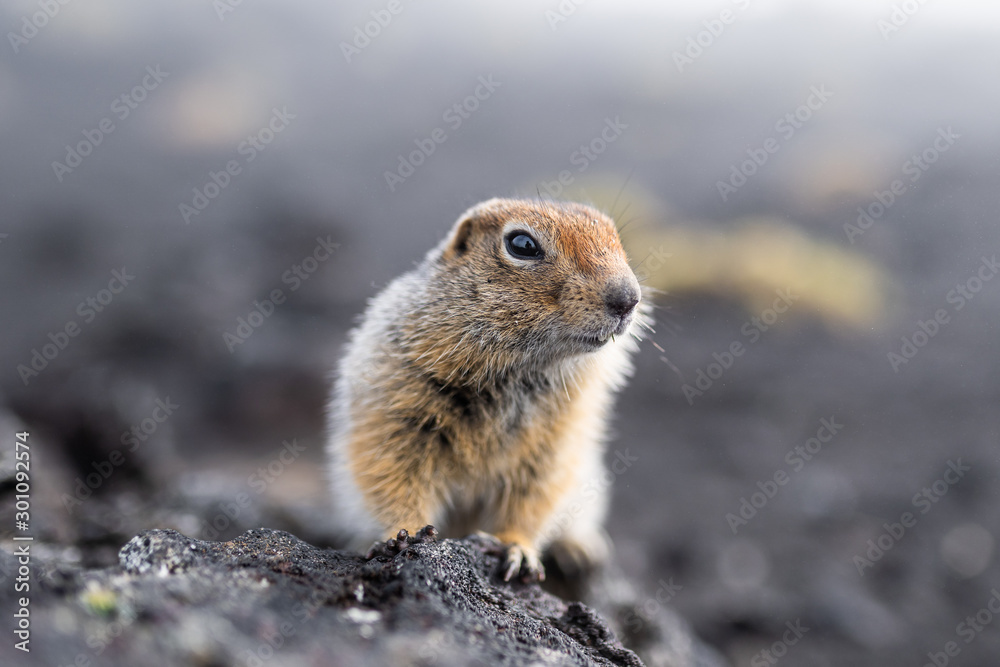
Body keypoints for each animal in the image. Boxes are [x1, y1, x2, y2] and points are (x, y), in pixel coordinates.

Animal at [328, 197, 648, 580]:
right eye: (522, 244)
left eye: (615, 236)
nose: (628, 299)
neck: (519, 372)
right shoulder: (397, 406)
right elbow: (389, 473)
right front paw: (401, 535)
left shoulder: (559, 440)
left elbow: (535, 497)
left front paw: (516, 548)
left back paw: (579, 549)